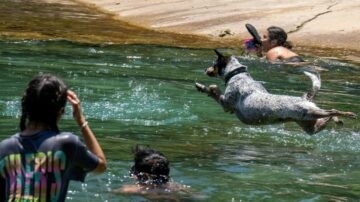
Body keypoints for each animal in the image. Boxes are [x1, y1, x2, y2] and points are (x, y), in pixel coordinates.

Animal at [195, 50, 356, 134]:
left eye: (213, 64)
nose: (205, 69)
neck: (237, 74)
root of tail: (305, 98)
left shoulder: (226, 105)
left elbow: (214, 90)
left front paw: (206, 87)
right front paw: (201, 86)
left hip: (310, 112)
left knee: (332, 110)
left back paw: (348, 114)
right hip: (310, 125)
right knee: (328, 116)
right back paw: (339, 120)